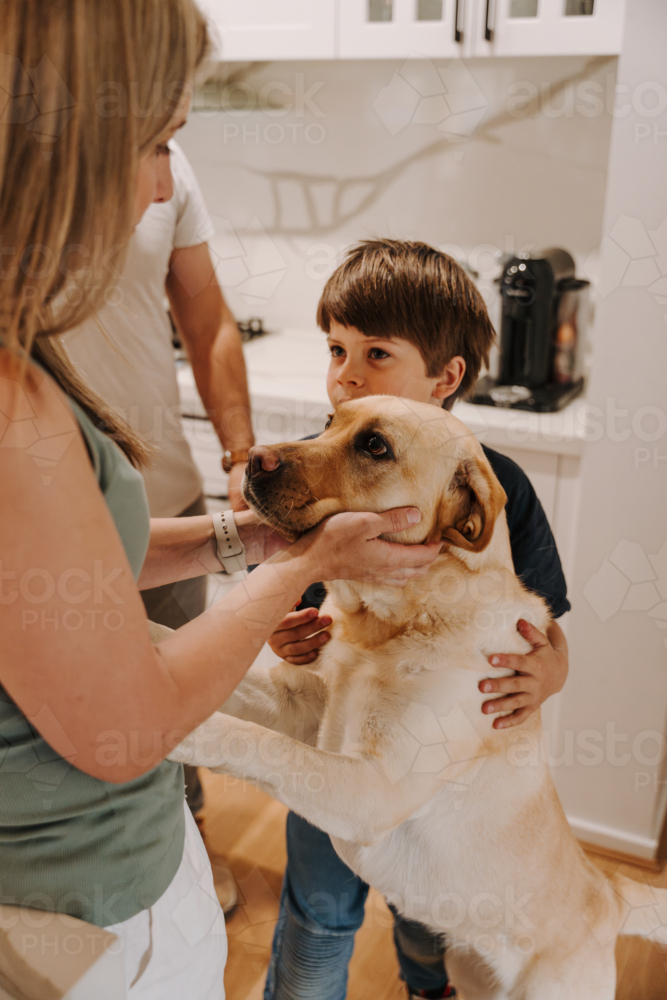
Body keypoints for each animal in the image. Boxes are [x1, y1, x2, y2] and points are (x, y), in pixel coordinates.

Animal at [168, 394, 667, 996]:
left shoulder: (372, 788)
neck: (391, 624)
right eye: (332, 421)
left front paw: (178, 730)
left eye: (375, 446)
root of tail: (609, 897)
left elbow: (260, 746)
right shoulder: (300, 706)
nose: (253, 457)